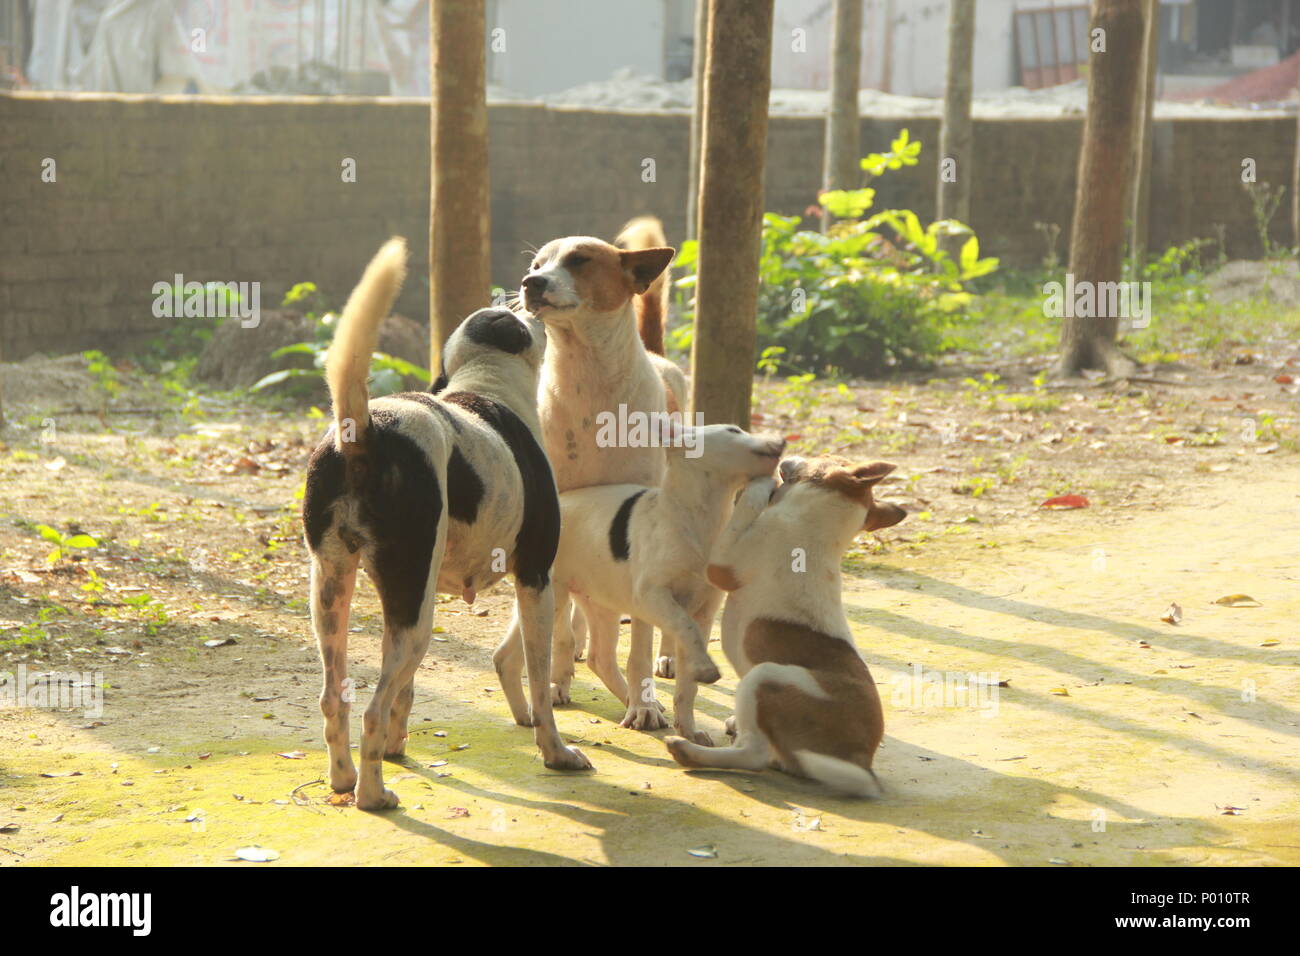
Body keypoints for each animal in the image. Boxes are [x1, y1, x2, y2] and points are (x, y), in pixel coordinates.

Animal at [301, 235, 587, 811]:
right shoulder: (536, 579)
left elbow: (406, 697)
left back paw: (345, 779)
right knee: (370, 707)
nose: (524, 287)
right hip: (414, 611)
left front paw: (398, 746)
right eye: (512, 313)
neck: (486, 385)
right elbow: (541, 684)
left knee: (336, 698)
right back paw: (372, 795)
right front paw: (555, 752)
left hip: (333, 591)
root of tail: (364, 430)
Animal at [665, 455, 909, 801]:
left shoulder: (722, 565)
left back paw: (690, 752)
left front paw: (759, 486)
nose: (786, 457)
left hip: (764, 675)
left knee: (752, 755)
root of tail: (862, 763)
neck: (819, 522)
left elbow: (744, 510)